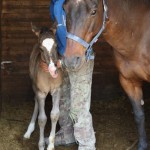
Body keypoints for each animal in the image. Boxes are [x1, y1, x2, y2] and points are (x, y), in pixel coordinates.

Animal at [61, 0, 150, 150]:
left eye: (94, 11)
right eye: (64, 9)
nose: (71, 60)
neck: (138, 36)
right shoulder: (128, 81)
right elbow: (139, 115)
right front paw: (143, 145)